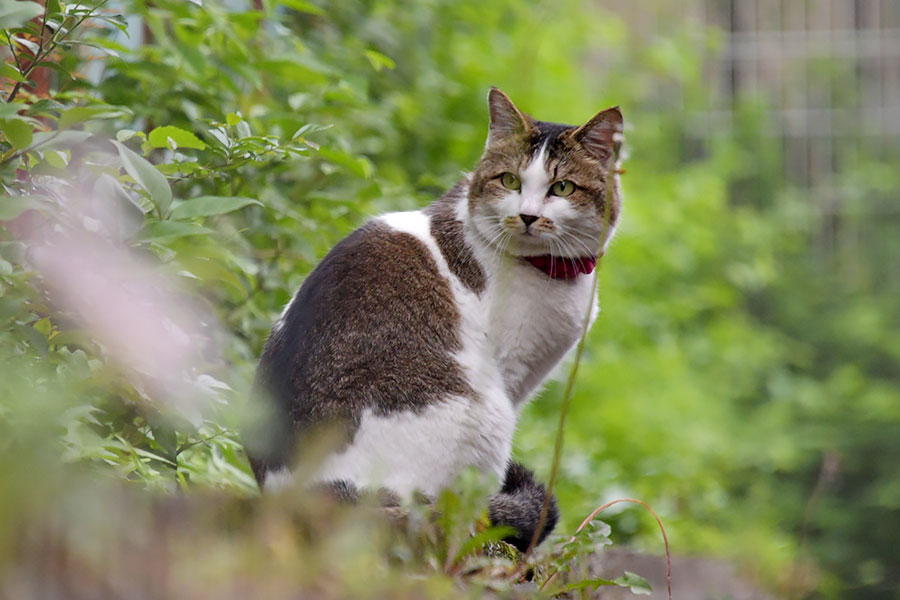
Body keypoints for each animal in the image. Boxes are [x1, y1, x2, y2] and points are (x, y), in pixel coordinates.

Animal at [246, 86, 624, 552]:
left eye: (562, 187)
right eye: (510, 181)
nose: (528, 216)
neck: (552, 268)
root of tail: (298, 499)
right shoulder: (511, 373)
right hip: (484, 412)